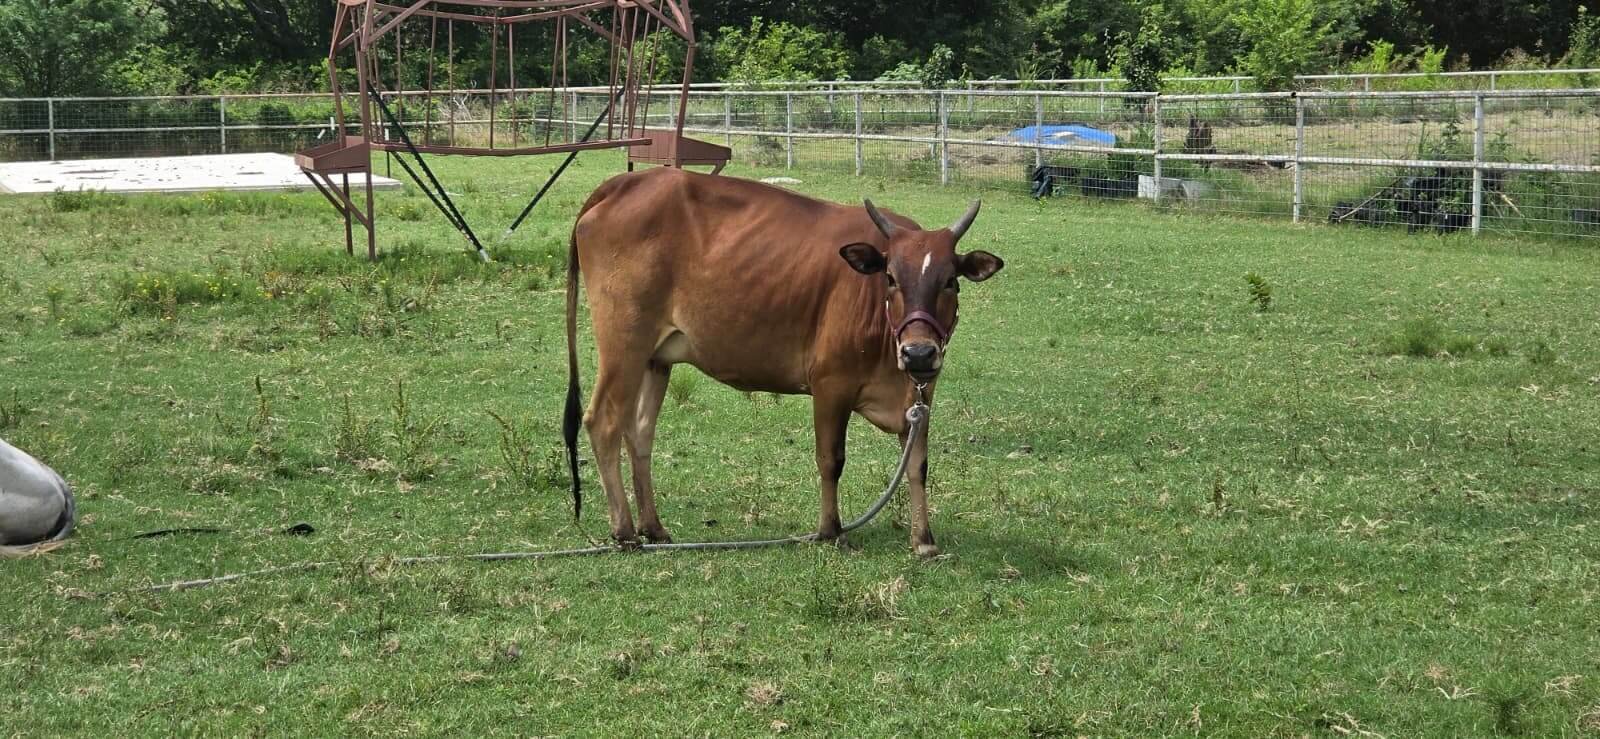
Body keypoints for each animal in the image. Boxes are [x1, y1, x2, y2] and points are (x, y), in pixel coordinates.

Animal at [562, 168, 1003, 556]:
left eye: (950, 281)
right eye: (891, 278)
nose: (918, 352)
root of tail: (626, 182)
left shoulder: (922, 394)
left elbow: (917, 464)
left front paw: (923, 540)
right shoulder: (830, 385)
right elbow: (830, 459)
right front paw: (831, 531)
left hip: (655, 359)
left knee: (639, 432)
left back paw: (653, 527)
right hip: (624, 344)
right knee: (603, 422)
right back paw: (624, 531)